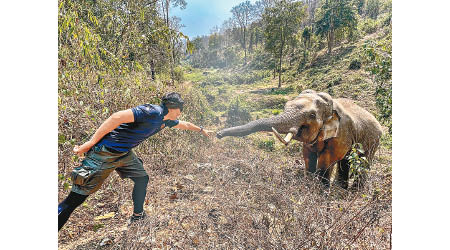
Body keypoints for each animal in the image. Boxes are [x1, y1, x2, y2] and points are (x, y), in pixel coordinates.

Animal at [216, 89, 382, 188]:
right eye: (285, 106)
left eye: (312, 115)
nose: (218, 134)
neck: (331, 106)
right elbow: (308, 157)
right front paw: (309, 186)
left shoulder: (342, 134)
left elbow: (327, 160)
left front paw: (320, 193)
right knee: (346, 162)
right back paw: (341, 189)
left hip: (373, 140)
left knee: (363, 162)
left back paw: (354, 191)